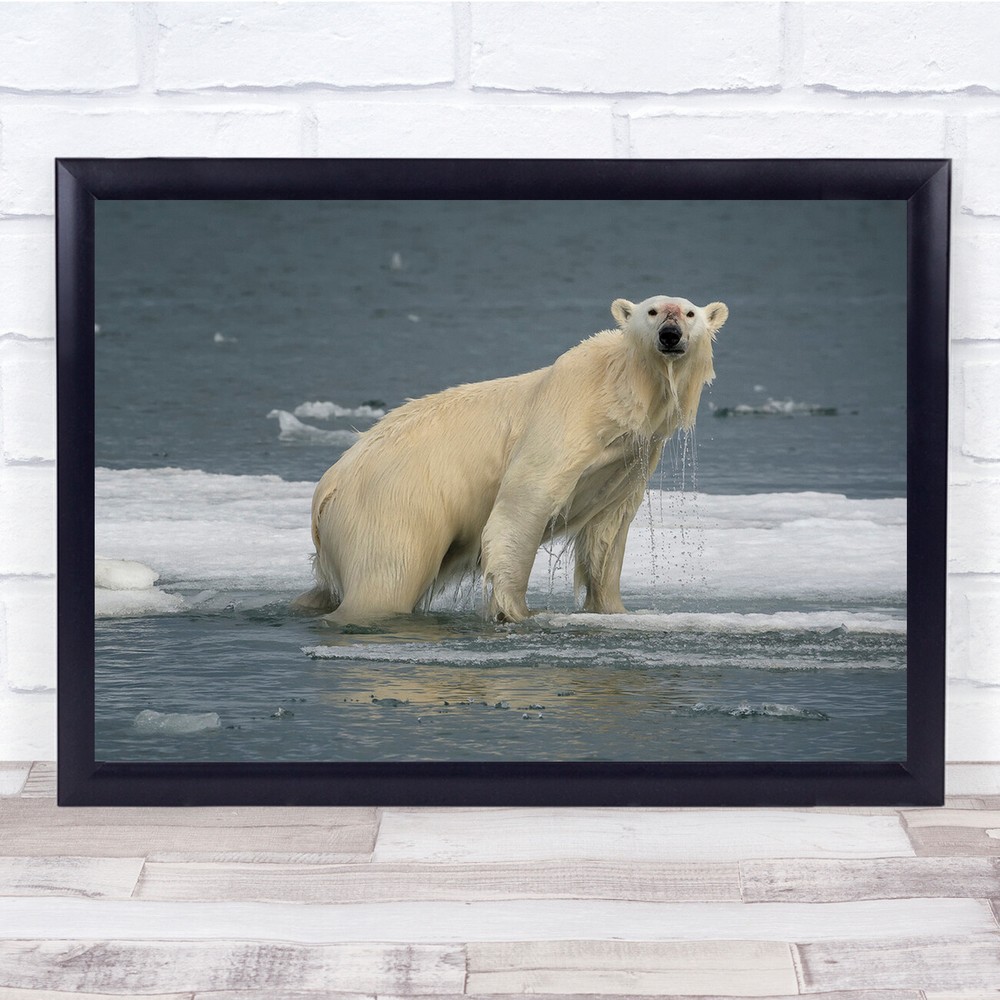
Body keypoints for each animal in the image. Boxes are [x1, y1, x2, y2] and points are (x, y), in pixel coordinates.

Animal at [296, 294, 728, 625]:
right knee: (386, 581)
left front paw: (612, 610)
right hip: (393, 508)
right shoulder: (564, 421)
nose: (670, 335)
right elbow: (524, 502)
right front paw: (517, 611)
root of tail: (327, 490)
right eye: (653, 311)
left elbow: (607, 531)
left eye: (689, 313)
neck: (620, 389)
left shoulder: (629, 458)